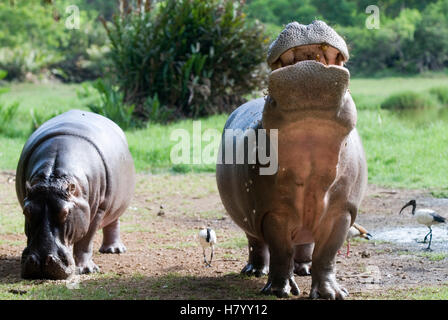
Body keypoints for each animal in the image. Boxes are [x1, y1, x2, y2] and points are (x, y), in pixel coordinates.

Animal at [16, 110, 135, 280]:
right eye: (27, 211)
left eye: (65, 212)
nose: (41, 262)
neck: (53, 178)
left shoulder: (98, 210)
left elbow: (86, 241)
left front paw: (86, 270)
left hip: (115, 205)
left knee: (113, 222)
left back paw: (114, 250)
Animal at [216, 21, 368, 298]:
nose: (306, 24)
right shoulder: (271, 213)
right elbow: (280, 251)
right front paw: (279, 290)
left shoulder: (342, 212)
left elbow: (327, 254)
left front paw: (332, 293)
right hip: (249, 220)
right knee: (256, 244)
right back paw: (255, 272)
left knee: (305, 246)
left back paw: (304, 271)